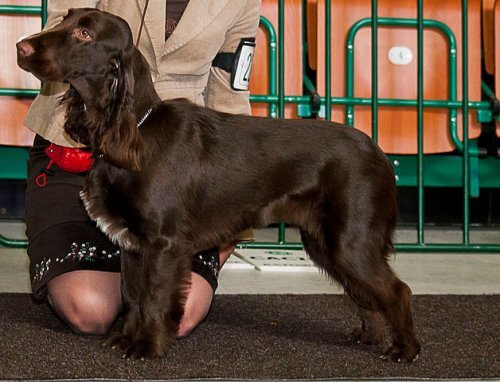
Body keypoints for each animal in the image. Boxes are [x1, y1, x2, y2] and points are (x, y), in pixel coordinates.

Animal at [17, 8, 420, 362]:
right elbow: (132, 297)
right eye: (65, 19)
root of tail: (378, 152)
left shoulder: (163, 244)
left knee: (396, 290)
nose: (21, 46)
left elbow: (153, 299)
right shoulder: (131, 244)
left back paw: (404, 350)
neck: (134, 133)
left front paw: (145, 346)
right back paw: (370, 336)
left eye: (84, 33)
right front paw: (126, 339)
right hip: (326, 242)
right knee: (366, 293)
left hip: (349, 241)